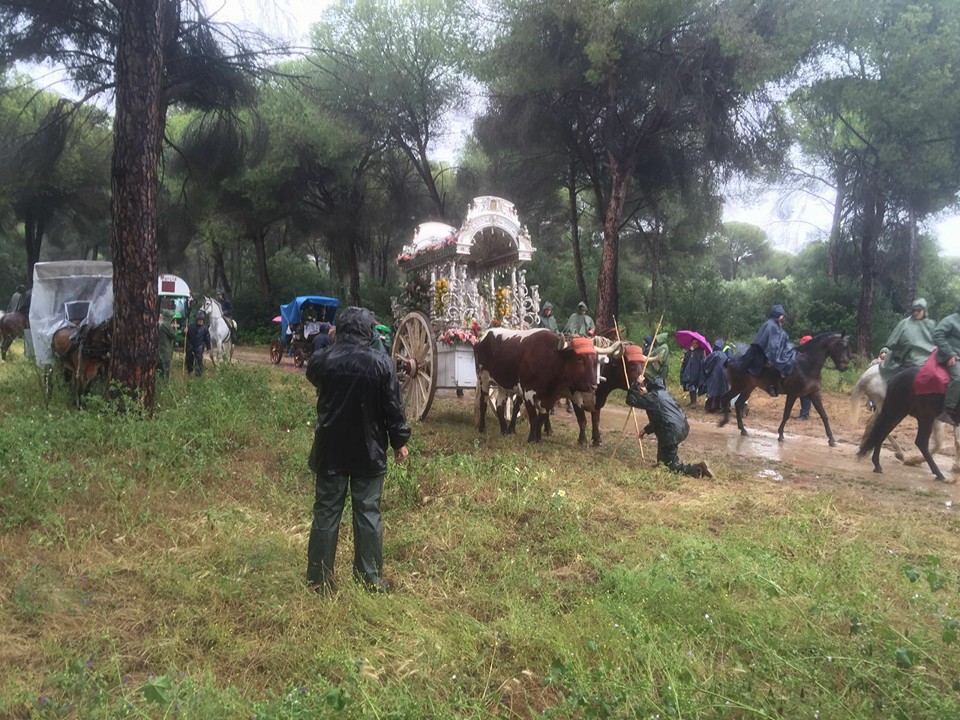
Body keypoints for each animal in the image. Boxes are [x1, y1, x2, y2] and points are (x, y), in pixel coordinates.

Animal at [474, 328, 618, 442]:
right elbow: (533, 417)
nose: (593, 387)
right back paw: (482, 428)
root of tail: (484, 335)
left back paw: (504, 430)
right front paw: (532, 439)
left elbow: (541, 417)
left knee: (499, 406)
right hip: (483, 379)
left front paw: (538, 437)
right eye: (579, 359)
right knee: (483, 404)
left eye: (595, 360)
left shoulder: (549, 398)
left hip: (502, 385)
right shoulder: (528, 392)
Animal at [719, 332, 852, 446]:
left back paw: (742, 429)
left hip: (748, 388)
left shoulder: (814, 394)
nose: (844, 367)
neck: (806, 364)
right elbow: (786, 414)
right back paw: (724, 421)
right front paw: (781, 435)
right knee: (726, 399)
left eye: (848, 347)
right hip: (739, 386)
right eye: (843, 346)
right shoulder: (793, 394)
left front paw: (831, 439)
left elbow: (824, 415)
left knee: (738, 404)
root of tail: (731, 359)